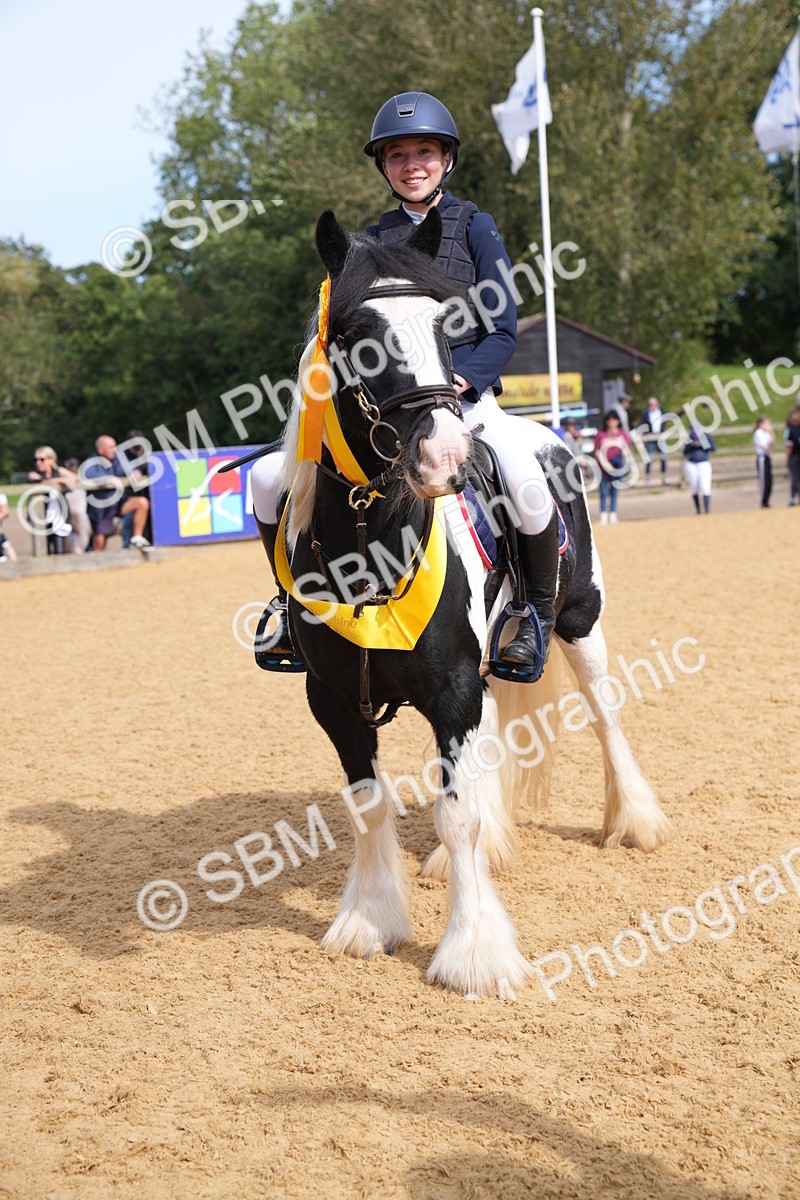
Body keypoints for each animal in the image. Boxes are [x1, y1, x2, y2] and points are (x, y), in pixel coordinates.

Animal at [274, 208, 673, 999]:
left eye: (447, 325)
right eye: (356, 333)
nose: (446, 461)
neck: (372, 542)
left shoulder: (452, 686)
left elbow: (455, 817)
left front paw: (474, 953)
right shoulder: (332, 697)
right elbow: (368, 803)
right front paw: (369, 921)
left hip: (580, 620)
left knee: (605, 712)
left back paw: (635, 823)